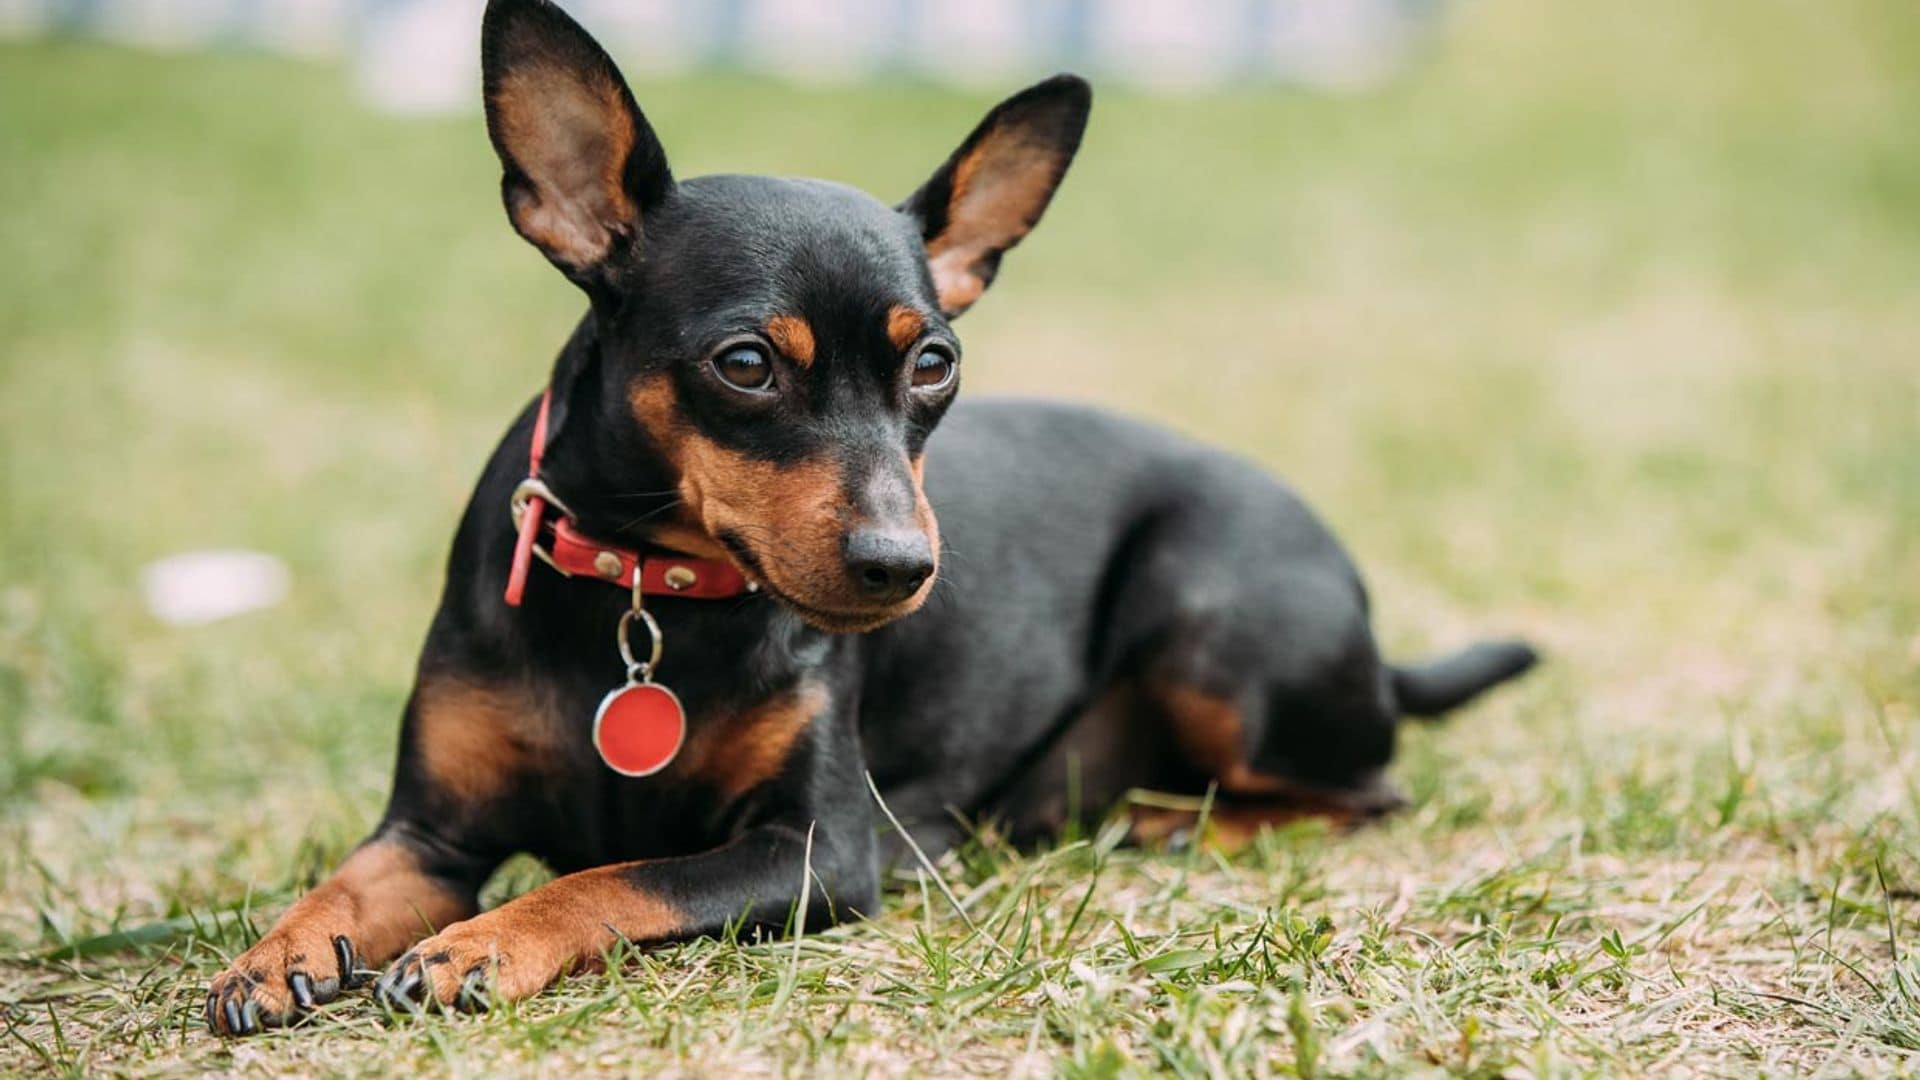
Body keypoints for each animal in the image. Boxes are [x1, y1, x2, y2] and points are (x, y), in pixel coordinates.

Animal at [202, 0, 1536, 1030]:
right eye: (746, 365)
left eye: (934, 363)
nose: (901, 567)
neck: (647, 594)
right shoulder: (429, 832)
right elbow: (346, 883)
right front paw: (275, 953)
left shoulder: (816, 852)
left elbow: (617, 877)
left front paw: (481, 943)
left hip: (1214, 618)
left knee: (1365, 791)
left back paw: (1173, 825)